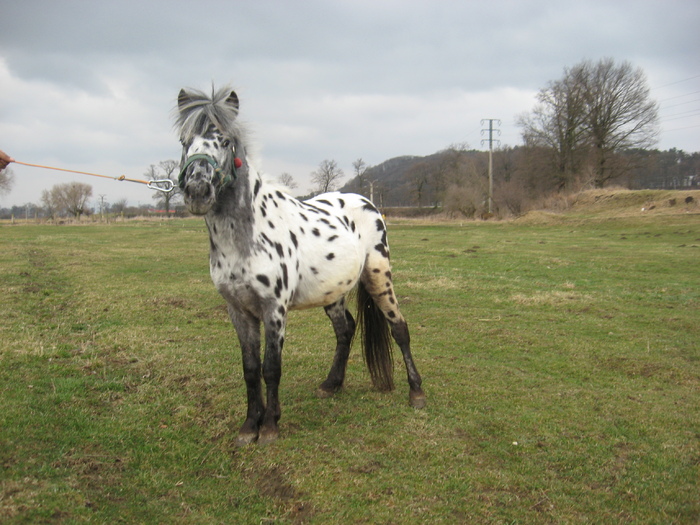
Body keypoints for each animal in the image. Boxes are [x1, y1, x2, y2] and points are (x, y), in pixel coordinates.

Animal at [178, 85, 424, 442]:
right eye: (184, 141)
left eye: (224, 141)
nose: (197, 190)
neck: (244, 238)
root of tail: (364, 200)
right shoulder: (238, 311)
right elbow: (250, 369)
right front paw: (249, 426)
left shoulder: (274, 310)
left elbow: (271, 368)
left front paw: (269, 426)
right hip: (334, 292)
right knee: (345, 329)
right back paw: (331, 385)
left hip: (379, 276)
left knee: (399, 328)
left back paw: (416, 392)